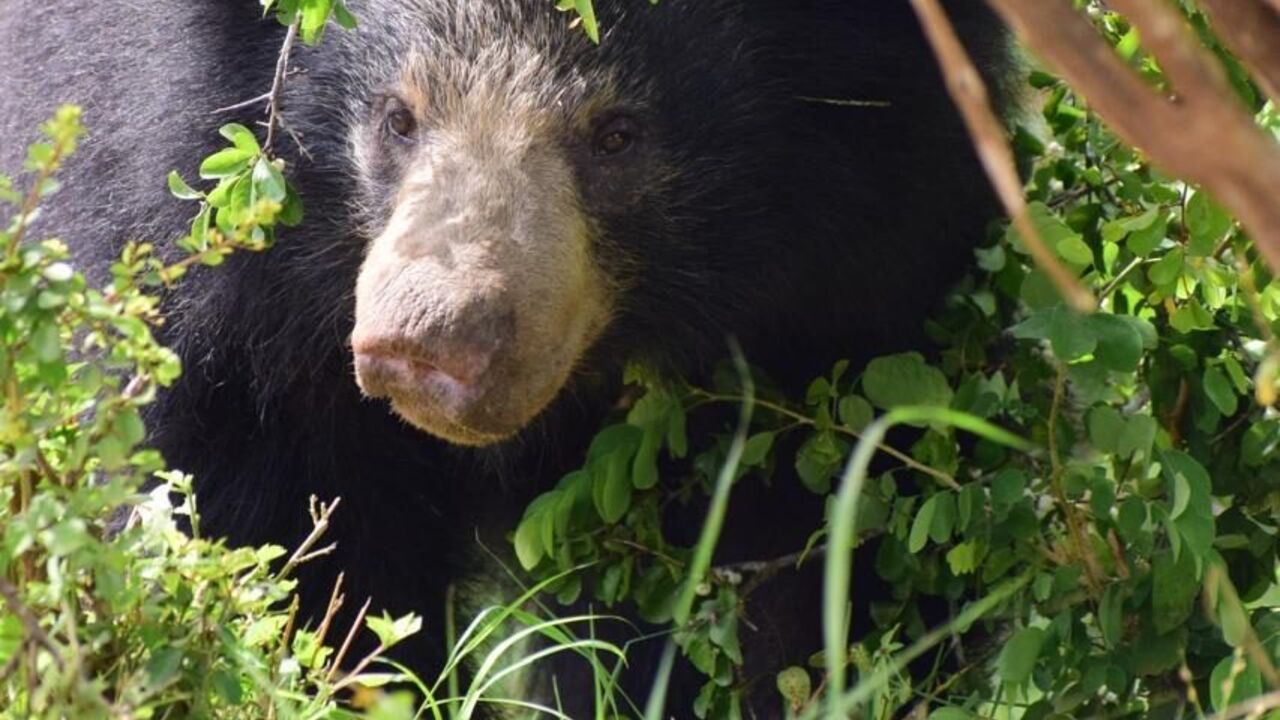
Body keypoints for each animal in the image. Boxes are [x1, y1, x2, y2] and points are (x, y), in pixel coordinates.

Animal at [0, 0, 1010, 714]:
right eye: (398, 118)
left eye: (616, 134)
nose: (425, 345)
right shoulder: (231, 329)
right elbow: (265, 541)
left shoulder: (835, 298)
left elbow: (791, 558)